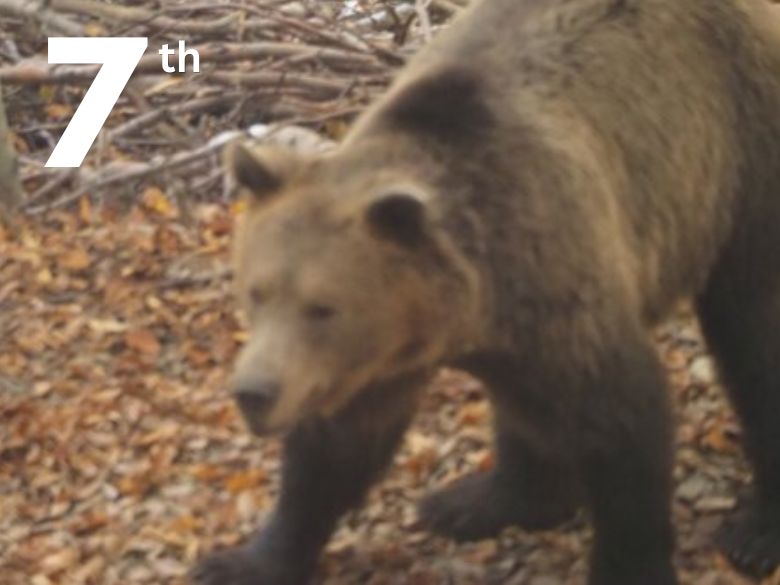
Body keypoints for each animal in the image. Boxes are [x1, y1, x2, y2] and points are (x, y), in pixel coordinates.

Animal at [192, 0, 780, 584]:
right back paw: (476, 501)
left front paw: (630, 563)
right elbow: (336, 447)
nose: (254, 391)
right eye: (257, 293)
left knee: (752, 335)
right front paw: (240, 560)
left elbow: (622, 421)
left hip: (743, 158)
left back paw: (756, 532)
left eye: (323, 307)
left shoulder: (558, 283)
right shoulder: (377, 360)